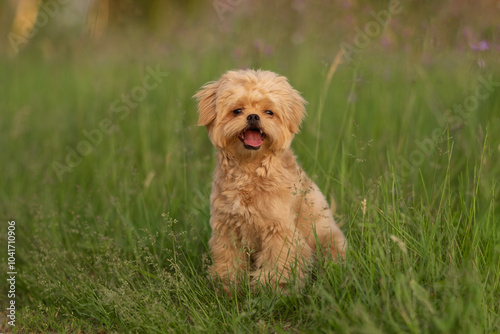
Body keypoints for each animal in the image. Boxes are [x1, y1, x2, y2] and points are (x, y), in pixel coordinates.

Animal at [193, 68, 346, 292]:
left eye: (269, 112)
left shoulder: (279, 229)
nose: (253, 116)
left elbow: (278, 260)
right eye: (237, 111)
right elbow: (229, 259)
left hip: (329, 240)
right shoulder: (227, 227)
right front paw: (228, 284)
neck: (249, 170)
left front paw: (274, 287)